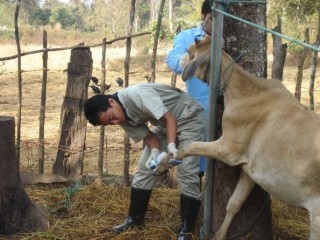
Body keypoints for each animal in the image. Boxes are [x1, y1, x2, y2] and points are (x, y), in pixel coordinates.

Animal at [178, 35, 320, 240]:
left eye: (190, 52)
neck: (246, 92)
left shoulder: (228, 149)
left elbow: (191, 146)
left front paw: (168, 159)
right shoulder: (249, 170)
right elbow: (234, 203)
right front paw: (219, 235)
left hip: (317, 214)